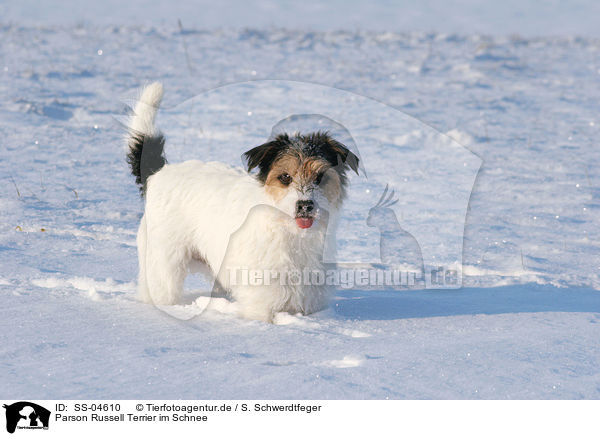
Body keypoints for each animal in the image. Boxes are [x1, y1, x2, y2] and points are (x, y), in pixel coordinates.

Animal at [126, 82, 358, 320]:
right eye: (285, 177)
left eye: (320, 177)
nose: (305, 205)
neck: (290, 234)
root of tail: (159, 173)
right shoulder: (262, 298)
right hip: (164, 265)